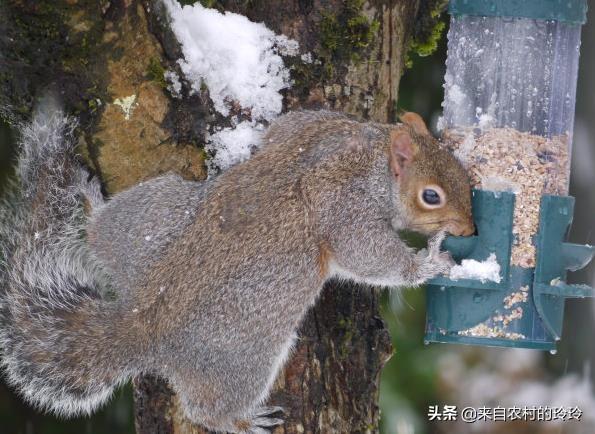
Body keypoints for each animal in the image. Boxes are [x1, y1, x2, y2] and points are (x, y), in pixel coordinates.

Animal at [0, 99, 474, 434]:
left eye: (461, 170)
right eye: (431, 196)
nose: (469, 228)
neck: (371, 157)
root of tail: (142, 323)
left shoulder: (316, 129)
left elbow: (284, 129)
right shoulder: (346, 209)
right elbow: (367, 255)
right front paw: (429, 262)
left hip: (150, 214)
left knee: (100, 231)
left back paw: (89, 203)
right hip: (242, 356)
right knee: (205, 409)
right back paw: (241, 421)